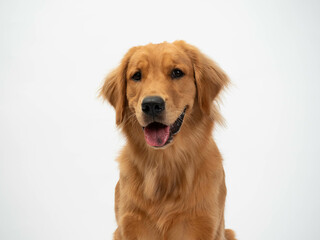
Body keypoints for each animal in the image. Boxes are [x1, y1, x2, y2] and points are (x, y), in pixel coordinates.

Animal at [100, 41, 235, 240]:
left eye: (177, 72)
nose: (151, 104)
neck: (165, 163)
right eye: (136, 75)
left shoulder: (206, 223)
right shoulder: (129, 224)